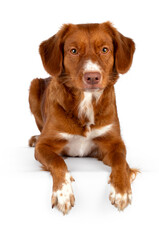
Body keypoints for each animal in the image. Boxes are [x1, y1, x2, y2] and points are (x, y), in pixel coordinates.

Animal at [29, 21, 139, 215]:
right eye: (73, 51)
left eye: (104, 49)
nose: (92, 77)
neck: (86, 102)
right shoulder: (45, 145)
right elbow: (57, 161)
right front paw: (63, 193)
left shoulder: (114, 142)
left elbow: (120, 160)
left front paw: (122, 189)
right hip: (34, 86)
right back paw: (35, 138)